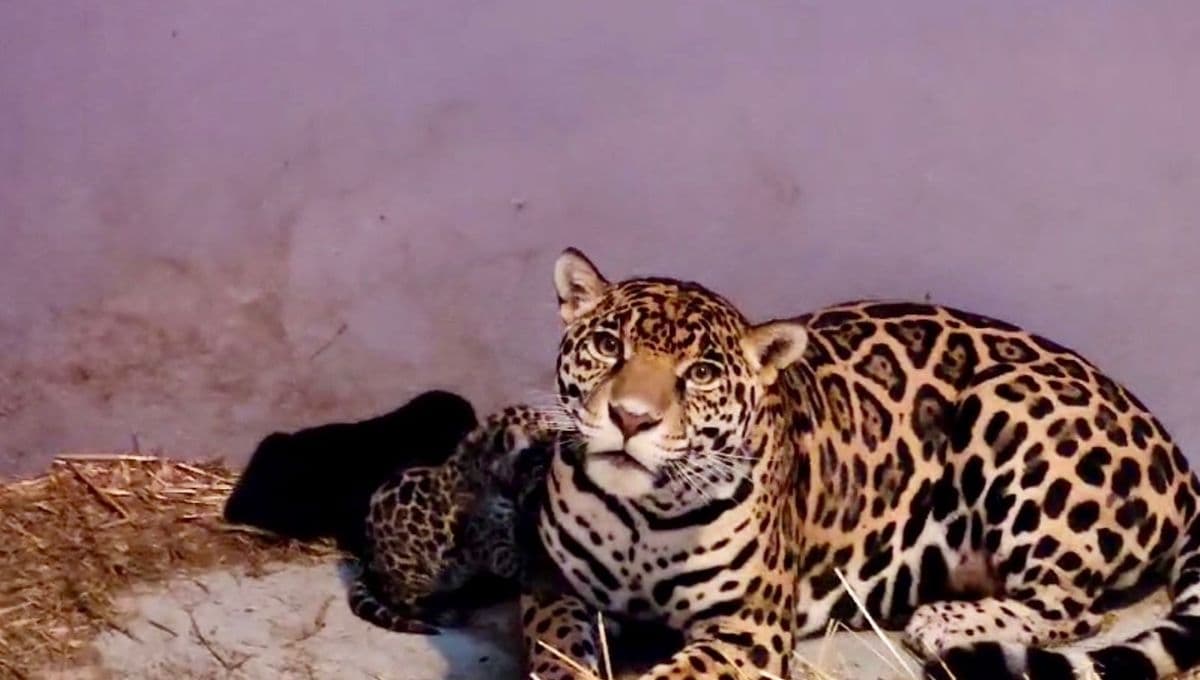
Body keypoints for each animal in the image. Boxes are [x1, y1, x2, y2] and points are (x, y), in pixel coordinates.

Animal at [348, 404, 562, 635]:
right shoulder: (494, 544)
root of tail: (369, 559)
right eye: (544, 426)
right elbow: (521, 562)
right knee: (406, 599)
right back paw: (445, 613)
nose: (561, 429)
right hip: (413, 574)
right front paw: (546, 578)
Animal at [519, 247, 1200, 680]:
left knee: (1074, 610)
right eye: (608, 345)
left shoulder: (748, 629)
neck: (642, 516)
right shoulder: (551, 583)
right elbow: (556, 644)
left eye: (703, 374)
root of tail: (1180, 461)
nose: (631, 418)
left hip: (1010, 402)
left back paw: (945, 623)